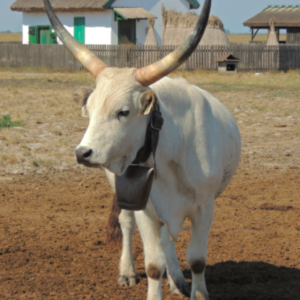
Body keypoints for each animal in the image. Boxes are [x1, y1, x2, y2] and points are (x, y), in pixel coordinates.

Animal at [44, 0, 241, 300]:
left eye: (123, 112)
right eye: (89, 109)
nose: (82, 153)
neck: (169, 149)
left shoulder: (205, 207)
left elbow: (197, 260)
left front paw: (195, 290)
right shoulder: (143, 206)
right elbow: (153, 265)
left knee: (167, 239)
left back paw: (177, 281)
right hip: (123, 191)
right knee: (127, 224)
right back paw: (127, 271)